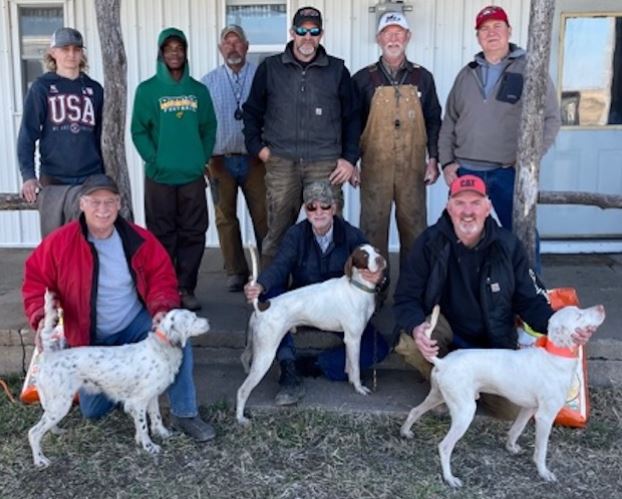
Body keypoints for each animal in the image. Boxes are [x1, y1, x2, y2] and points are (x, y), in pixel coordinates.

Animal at [29, 290, 211, 468]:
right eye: (194, 318)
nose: (208, 322)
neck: (161, 347)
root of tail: (49, 355)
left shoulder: (151, 396)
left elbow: (155, 417)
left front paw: (161, 433)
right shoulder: (138, 401)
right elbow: (144, 426)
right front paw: (148, 446)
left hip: (55, 404)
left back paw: (56, 431)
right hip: (60, 404)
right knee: (33, 433)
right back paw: (40, 460)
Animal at [238, 244, 388, 424]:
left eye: (377, 251)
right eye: (364, 255)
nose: (380, 259)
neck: (357, 288)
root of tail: (262, 307)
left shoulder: (350, 340)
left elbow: (350, 365)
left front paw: (351, 379)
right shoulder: (354, 339)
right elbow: (356, 368)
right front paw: (358, 388)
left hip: (255, 344)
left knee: (244, 357)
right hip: (266, 354)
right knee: (242, 390)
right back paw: (240, 418)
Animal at [402, 304, 608, 488]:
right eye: (579, 316)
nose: (601, 307)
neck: (554, 356)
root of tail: (442, 362)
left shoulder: (528, 409)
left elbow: (516, 430)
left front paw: (511, 447)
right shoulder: (545, 416)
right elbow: (541, 450)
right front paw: (543, 472)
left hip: (437, 396)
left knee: (414, 411)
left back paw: (405, 432)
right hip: (464, 412)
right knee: (444, 447)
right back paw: (450, 479)